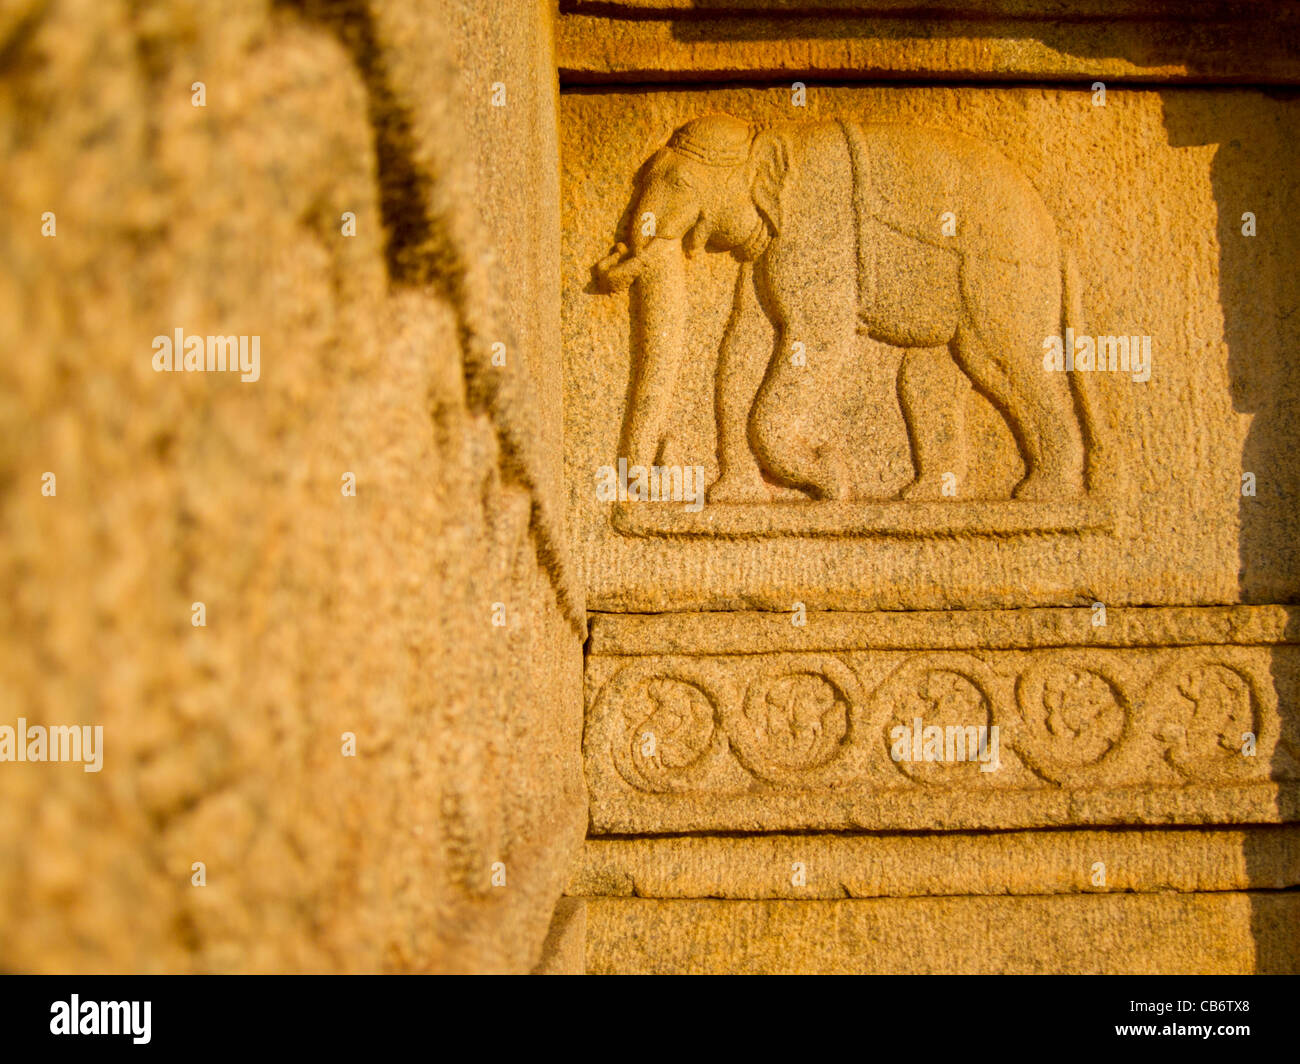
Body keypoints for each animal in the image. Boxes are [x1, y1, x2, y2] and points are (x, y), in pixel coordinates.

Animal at [595, 113, 1092, 504]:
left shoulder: (818, 226)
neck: (768, 139)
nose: (609, 261)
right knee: (932, 379)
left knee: (1007, 358)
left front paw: (830, 477)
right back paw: (925, 496)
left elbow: (816, 337)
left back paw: (1044, 493)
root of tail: (1059, 241)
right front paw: (736, 498)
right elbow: (741, 344)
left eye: (679, 183)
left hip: (1001, 271)